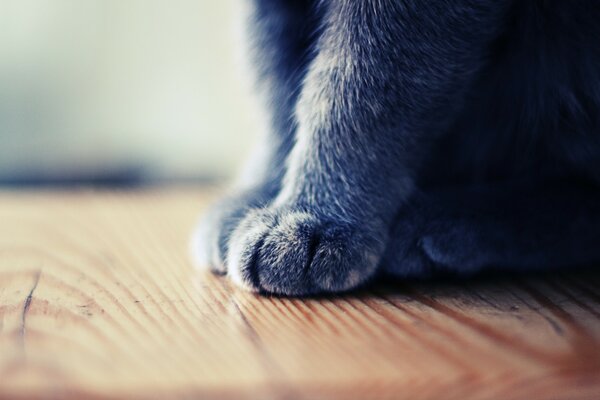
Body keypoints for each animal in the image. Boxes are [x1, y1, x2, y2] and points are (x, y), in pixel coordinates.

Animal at [191, 0, 600, 296]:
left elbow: (363, 81)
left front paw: (314, 215)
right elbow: (275, 71)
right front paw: (264, 190)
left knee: (581, 198)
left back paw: (450, 221)